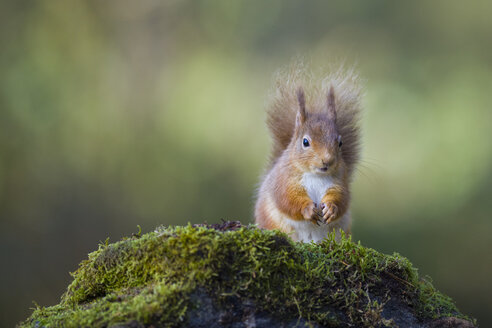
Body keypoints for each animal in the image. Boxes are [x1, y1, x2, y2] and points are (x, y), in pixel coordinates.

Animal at [256, 65, 364, 242]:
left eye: (340, 142)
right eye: (305, 142)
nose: (327, 160)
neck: (316, 175)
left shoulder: (340, 180)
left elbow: (341, 198)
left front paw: (331, 209)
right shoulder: (284, 179)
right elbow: (288, 199)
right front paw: (307, 210)